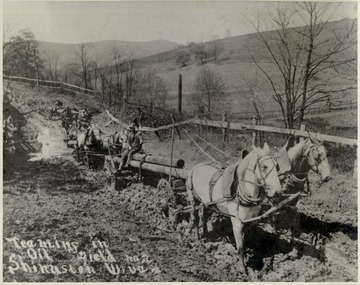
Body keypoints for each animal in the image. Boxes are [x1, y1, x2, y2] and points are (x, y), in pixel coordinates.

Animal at [187, 143, 282, 272]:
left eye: (276, 166)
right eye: (264, 166)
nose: (278, 192)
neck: (242, 191)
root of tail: (197, 166)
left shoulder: (250, 222)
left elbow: (245, 241)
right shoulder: (237, 223)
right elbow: (240, 246)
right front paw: (242, 268)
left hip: (204, 202)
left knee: (203, 216)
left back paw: (206, 234)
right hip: (193, 199)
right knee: (195, 218)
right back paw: (197, 240)